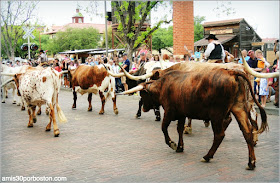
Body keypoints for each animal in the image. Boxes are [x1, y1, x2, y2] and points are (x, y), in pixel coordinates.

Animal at [121, 67, 270, 170]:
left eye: (143, 94)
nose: (144, 108)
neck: (164, 85)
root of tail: (231, 72)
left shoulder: (170, 111)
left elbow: (164, 128)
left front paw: (172, 143)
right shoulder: (181, 114)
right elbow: (179, 129)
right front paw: (180, 147)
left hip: (217, 114)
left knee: (219, 135)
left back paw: (207, 156)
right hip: (238, 109)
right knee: (247, 132)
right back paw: (251, 162)